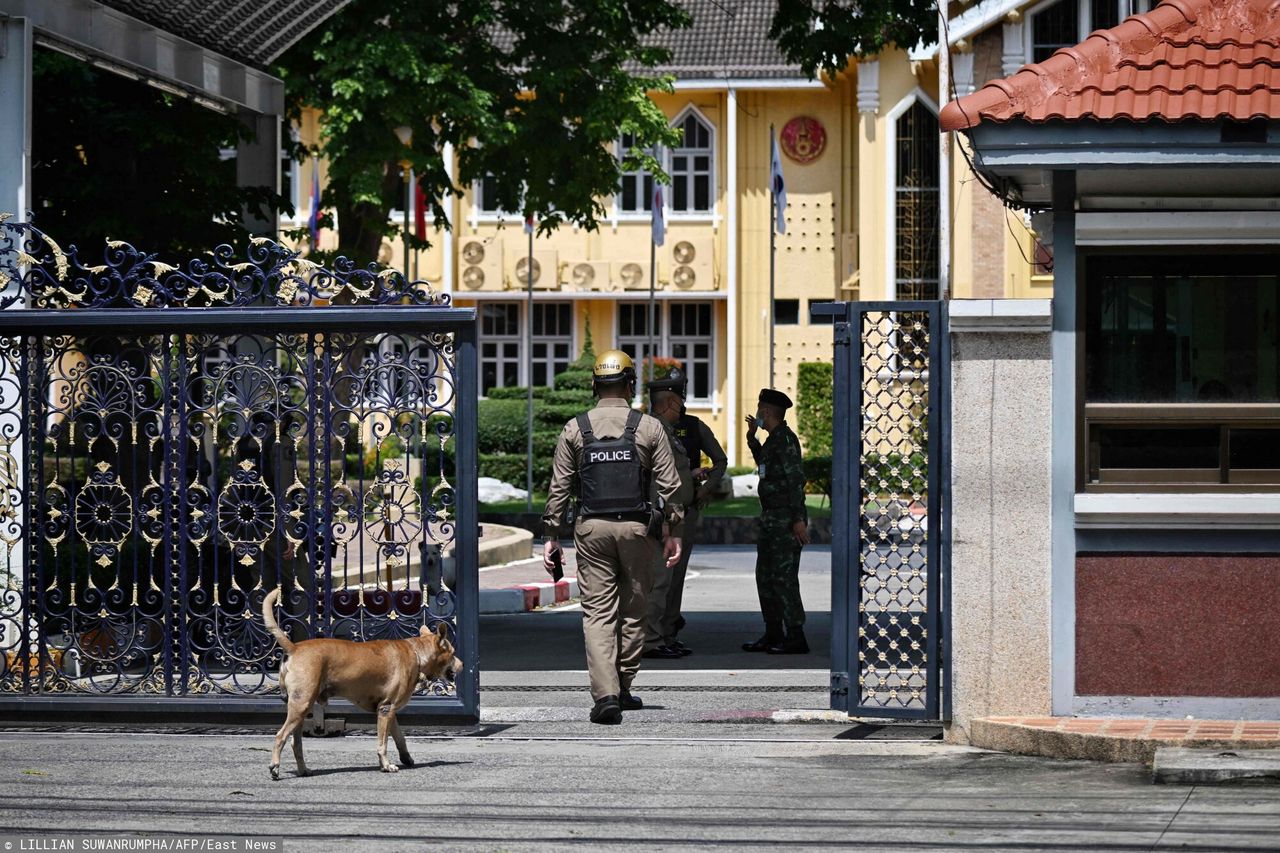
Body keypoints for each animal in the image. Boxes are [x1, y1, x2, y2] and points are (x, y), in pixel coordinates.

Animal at [262, 584, 463, 778]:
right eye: (453, 653)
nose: (462, 664)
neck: (417, 654)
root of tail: (294, 648)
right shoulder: (385, 710)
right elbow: (383, 743)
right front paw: (386, 765)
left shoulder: (389, 710)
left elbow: (400, 737)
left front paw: (406, 758)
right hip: (301, 703)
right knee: (280, 736)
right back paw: (275, 767)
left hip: (301, 707)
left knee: (296, 743)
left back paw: (303, 770)